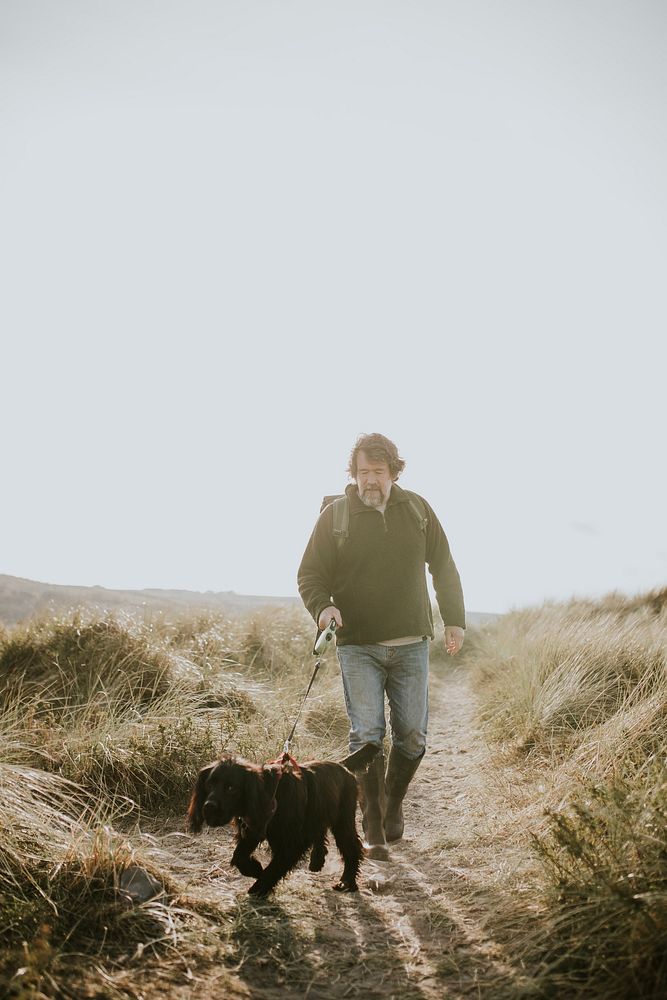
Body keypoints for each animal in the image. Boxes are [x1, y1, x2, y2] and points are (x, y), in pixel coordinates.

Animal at [187, 744, 380, 900]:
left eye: (231, 788)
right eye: (209, 785)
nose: (208, 807)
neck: (271, 794)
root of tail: (342, 765)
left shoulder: (292, 843)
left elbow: (275, 867)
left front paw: (259, 887)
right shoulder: (252, 829)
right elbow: (239, 856)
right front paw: (254, 869)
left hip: (343, 820)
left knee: (352, 848)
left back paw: (347, 882)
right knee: (320, 832)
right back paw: (317, 860)